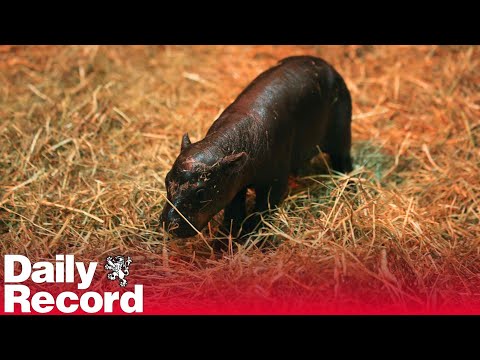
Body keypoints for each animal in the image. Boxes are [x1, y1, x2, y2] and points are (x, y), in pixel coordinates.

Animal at [159, 54, 350, 238]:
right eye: (167, 179)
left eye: (201, 192)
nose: (169, 224)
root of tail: (328, 66)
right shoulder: (234, 183)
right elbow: (233, 209)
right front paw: (225, 236)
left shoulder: (275, 182)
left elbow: (262, 209)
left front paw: (250, 235)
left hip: (341, 135)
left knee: (343, 159)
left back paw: (346, 183)